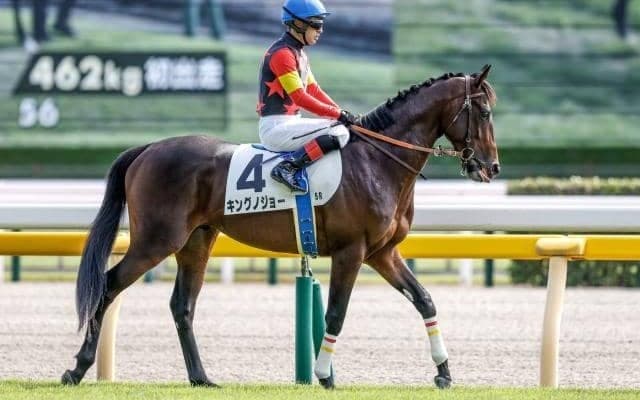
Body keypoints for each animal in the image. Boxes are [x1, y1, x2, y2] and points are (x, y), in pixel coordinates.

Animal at [61, 65, 499, 389]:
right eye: (485, 112)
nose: (491, 167)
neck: (378, 161)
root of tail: (148, 148)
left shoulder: (382, 253)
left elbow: (424, 300)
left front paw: (444, 373)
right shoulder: (351, 252)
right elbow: (336, 314)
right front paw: (323, 376)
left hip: (196, 241)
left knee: (182, 305)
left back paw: (201, 378)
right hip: (156, 241)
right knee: (107, 286)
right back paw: (77, 368)